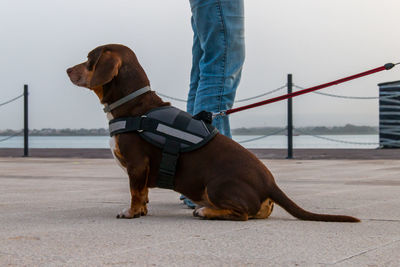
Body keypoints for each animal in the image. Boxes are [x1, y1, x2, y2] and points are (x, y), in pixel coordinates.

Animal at [67, 43, 360, 224]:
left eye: (89, 59)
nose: (67, 69)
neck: (134, 105)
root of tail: (270, 184)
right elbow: (143, 194)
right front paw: (142, 210)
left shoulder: (137, 165)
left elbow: (135, 193)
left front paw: (132, 212)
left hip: (216, 184)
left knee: (242, 215)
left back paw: (206, 211)